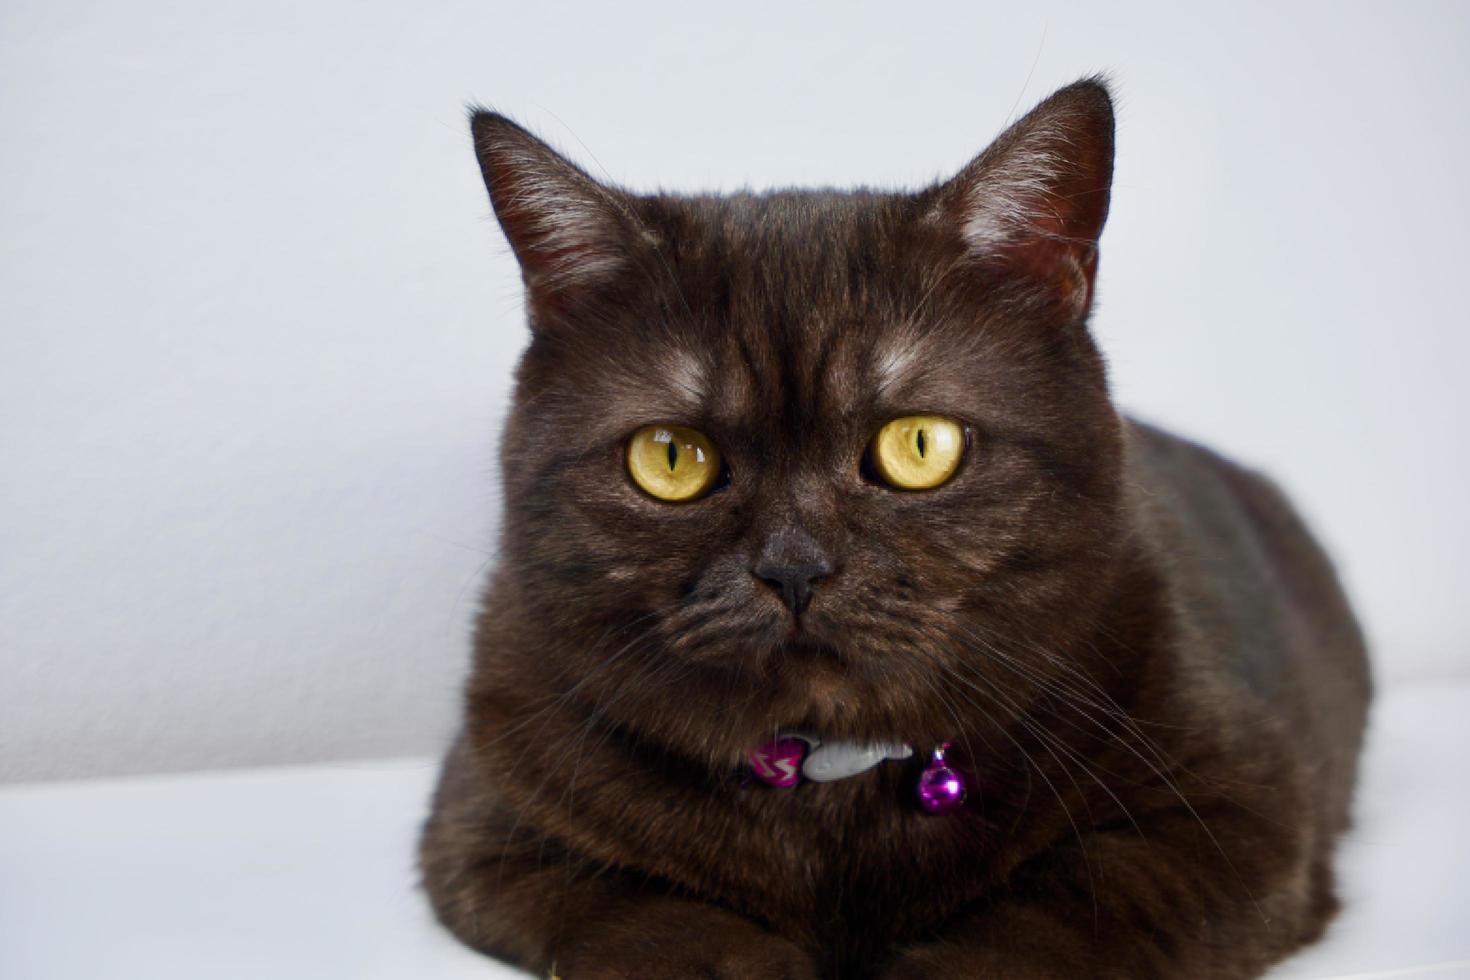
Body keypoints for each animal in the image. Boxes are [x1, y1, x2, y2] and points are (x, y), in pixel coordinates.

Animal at [420, 78, 1370, 980]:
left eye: (920, 445)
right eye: (671, 457)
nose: (794, 568)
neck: (834, 781)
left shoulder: (1238, 813)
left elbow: (1072, 910)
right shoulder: (489, 824)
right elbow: (645, 913)